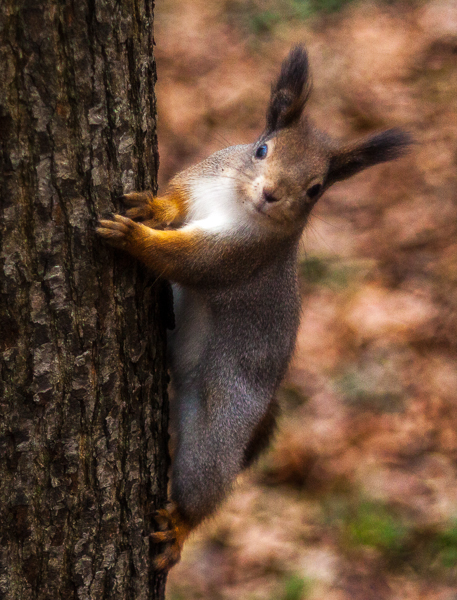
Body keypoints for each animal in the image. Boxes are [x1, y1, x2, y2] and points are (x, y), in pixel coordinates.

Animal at [96, 44, 410, 568]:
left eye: (316, 189)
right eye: (261, 149)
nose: (271, 194)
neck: (233, 203)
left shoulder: (244, 256)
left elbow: (189, 262)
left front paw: (133, 236)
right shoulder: (204, 176)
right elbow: (175, 201)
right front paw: (151, 210)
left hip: (219, 429)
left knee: (206, 484)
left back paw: (179, 528)